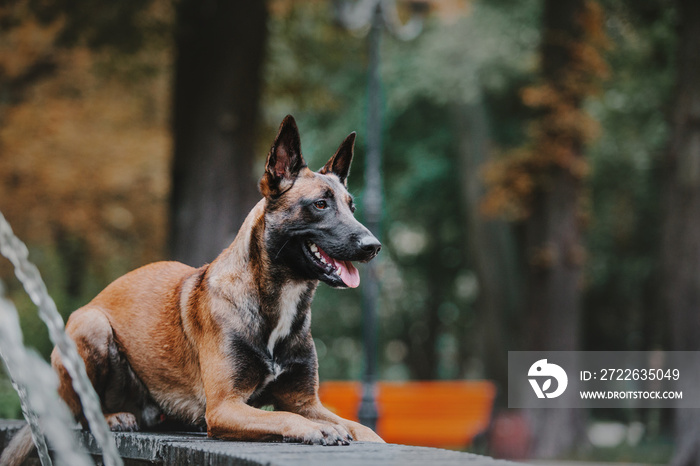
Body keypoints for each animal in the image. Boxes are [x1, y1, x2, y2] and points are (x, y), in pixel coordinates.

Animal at [1, 115, 382, 466]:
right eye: (320, 204)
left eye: (351, 207)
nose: (373, 246)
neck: (273, 302)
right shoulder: (225, 407)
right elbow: (286, 416)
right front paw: (320, 430)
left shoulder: (306, 401)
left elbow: (362, 429)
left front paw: (354, 432)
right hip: (91, 327)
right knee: (81, 414)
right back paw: (113, 417)